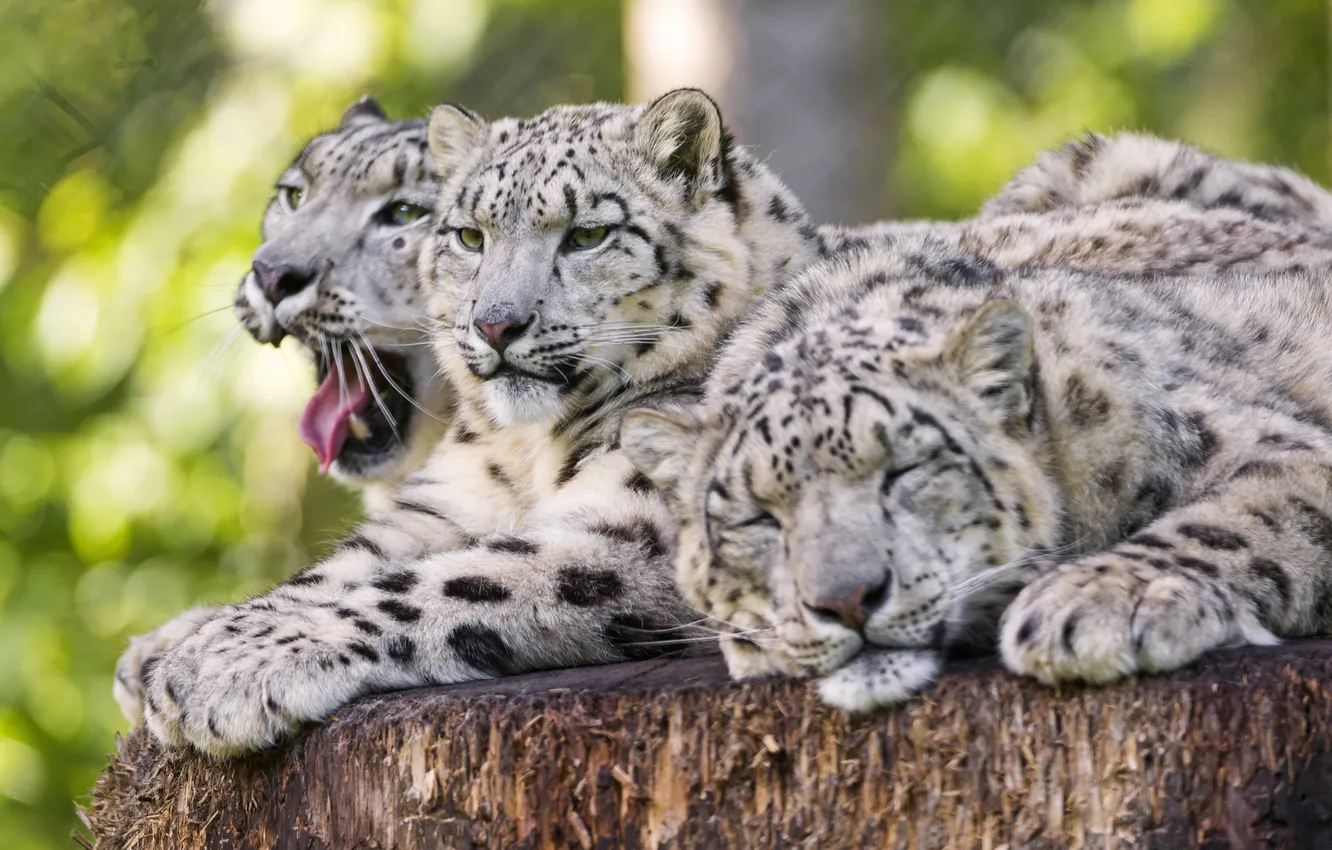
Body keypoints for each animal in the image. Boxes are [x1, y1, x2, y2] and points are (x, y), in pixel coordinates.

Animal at [622, 186, 1332, 712]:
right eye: (756, 518)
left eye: (904, 470)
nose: (846, 599)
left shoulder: (1260, 437)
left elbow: (1231, 521)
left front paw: (1097, 602)